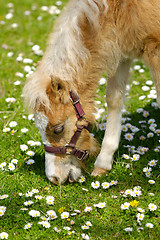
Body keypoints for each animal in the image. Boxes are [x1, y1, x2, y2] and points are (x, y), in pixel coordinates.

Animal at [23, 0, 160, 184]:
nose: (54, 178)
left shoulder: (154, 50)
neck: (119, 8)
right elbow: (114, 98)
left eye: (58, 129)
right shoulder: (120, 50)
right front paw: (103, 164)